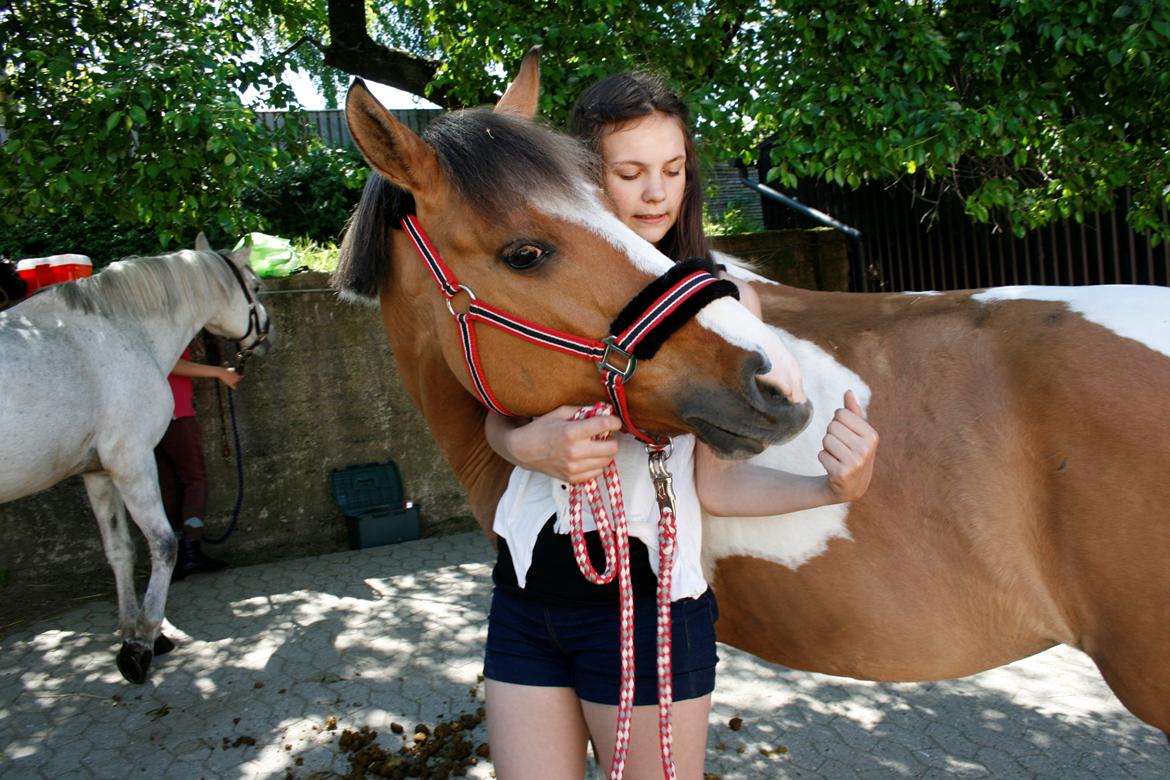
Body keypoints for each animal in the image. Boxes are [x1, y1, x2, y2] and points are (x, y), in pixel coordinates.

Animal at [0, 238, 271, 682]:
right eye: (258, 286)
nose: (269, 335)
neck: (120, 330)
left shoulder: (97, 473)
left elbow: (120, 549)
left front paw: (132, 630)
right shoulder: (134, 462)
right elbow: (163, 543)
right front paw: (142, 642)